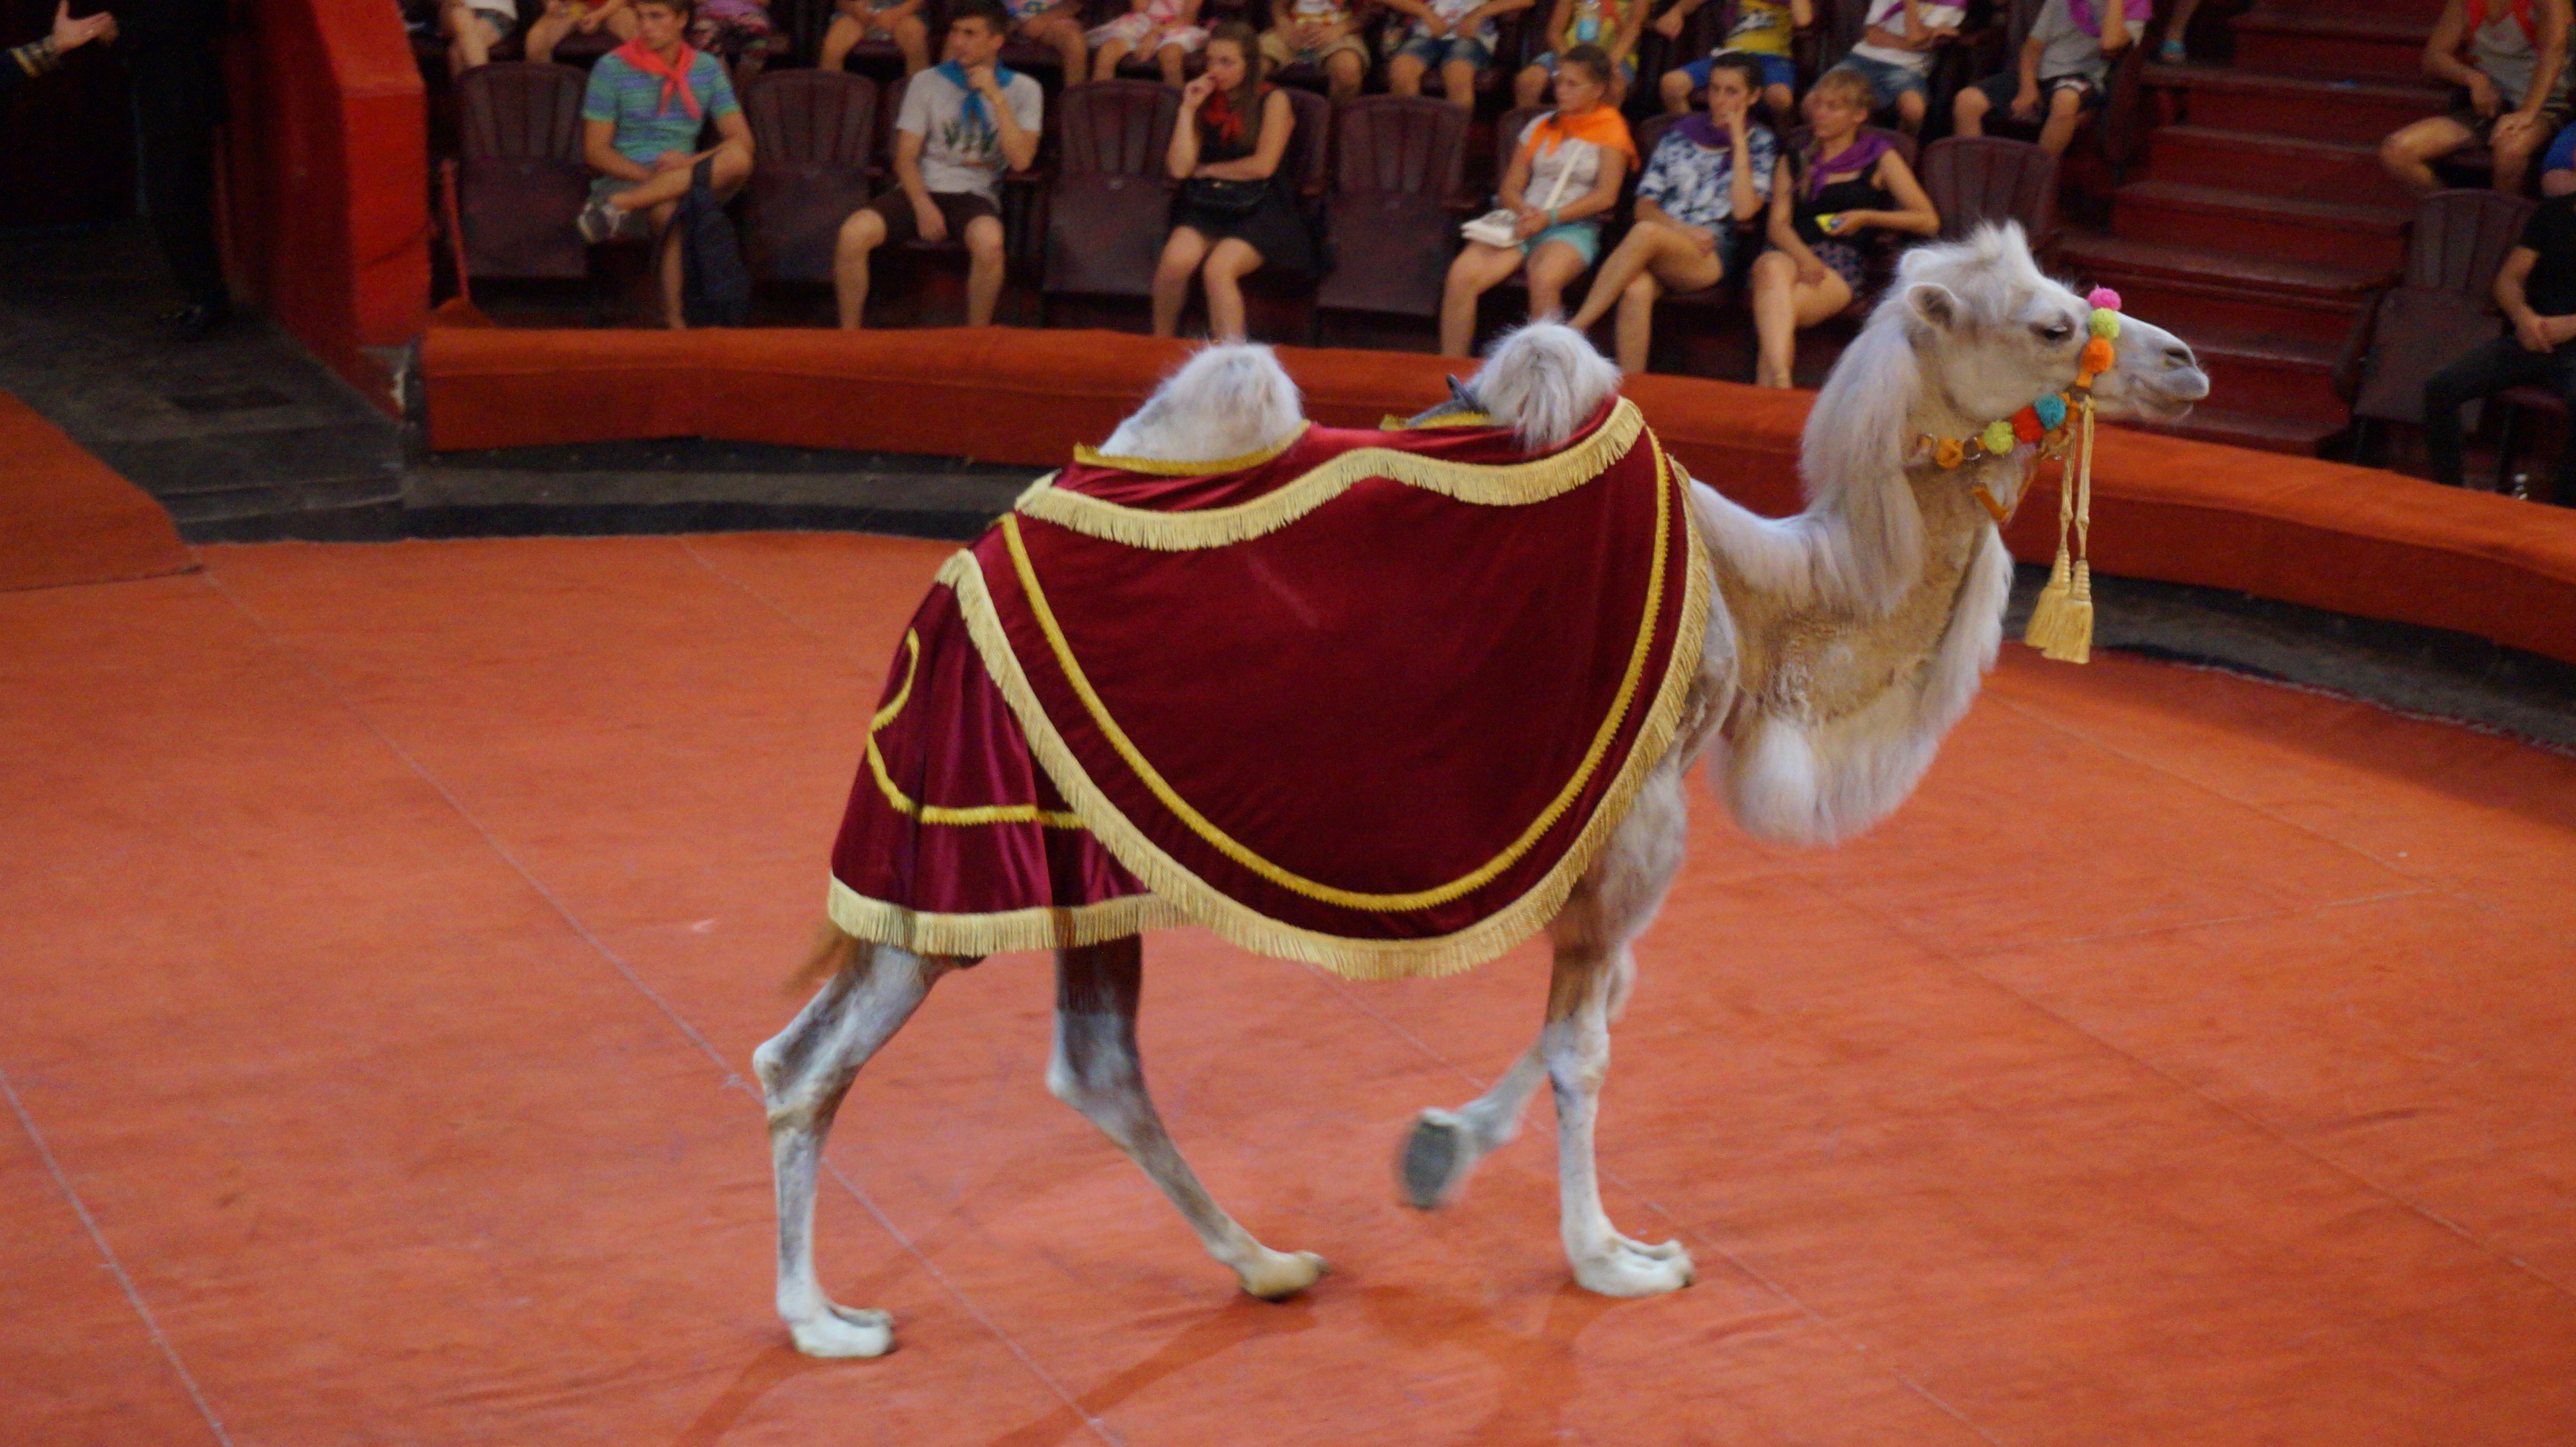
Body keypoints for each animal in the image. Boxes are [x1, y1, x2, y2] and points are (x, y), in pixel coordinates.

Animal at [755, 223, 2211, 1358]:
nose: (2185, 362)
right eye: (2047, 321)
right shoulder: (1641, 817)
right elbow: (1586, 1042)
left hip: (1079, 869)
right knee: (822, 1059)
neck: (1760, 599)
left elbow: (1597, 1007)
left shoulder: (1609, 838)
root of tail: (950, 581)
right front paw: (1611, 1258)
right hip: (971, 846)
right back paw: (823, 1319)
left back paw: (1266, 1264)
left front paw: (1436, 1152)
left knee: (1069, 1065)